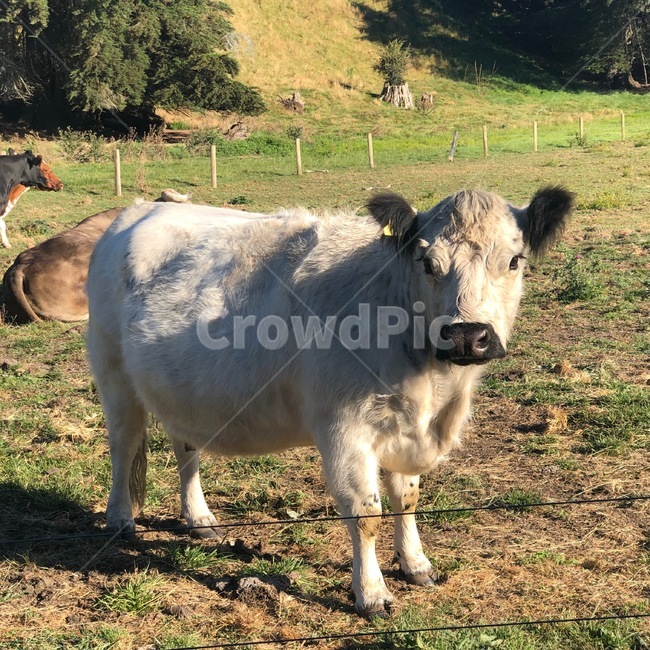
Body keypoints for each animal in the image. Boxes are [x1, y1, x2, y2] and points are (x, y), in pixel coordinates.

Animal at [86, 186, 573, 617]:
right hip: (114, 375)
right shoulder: (345, 430)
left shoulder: (404, 430)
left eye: (514, 260)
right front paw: (371, 594)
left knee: (185, 449)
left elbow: (407, 498)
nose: (468, 335)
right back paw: (121, 520)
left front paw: (415, 564)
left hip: (180, 392)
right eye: (427, 262)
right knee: (123, 447)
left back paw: (199, 519)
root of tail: (136, 210)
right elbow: (366, 513)